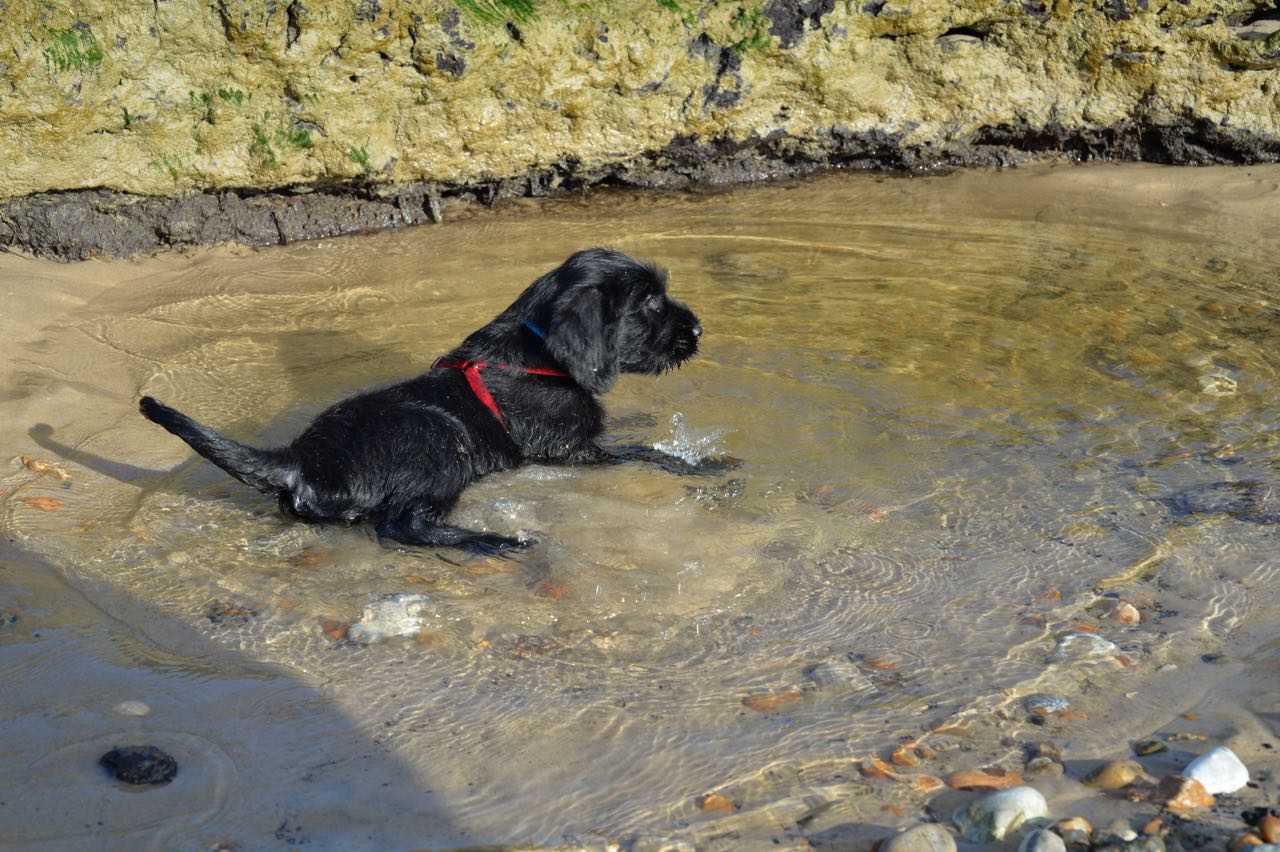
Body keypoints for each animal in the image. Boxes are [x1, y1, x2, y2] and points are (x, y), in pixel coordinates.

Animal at [139, 248, 709, 552]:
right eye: (650, 302)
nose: (699, 329)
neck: (537, 356)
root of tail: (302, 461)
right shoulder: (566, 450)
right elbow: (642, 455)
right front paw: (701, 465)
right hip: (441, 437)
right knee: (403, 524)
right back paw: (492, 541)